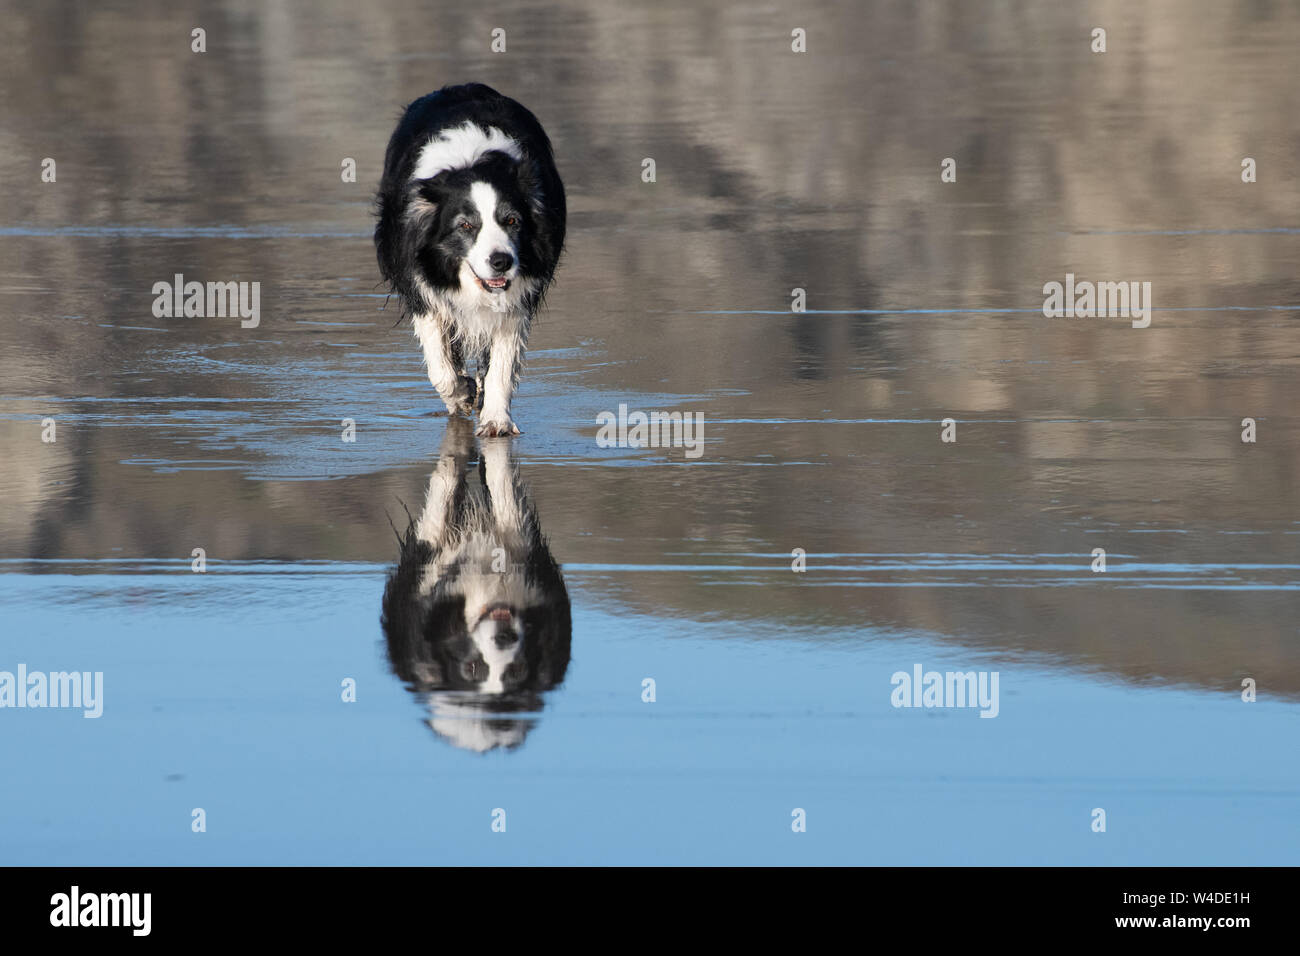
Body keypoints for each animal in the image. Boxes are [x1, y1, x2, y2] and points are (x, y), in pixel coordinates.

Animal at [371, 85, 564, 437]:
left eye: (512, 221)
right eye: (465, 226)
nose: (501, 261)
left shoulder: (520, 290)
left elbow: (503, 360)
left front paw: (496, 420)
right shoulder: (421, 279)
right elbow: (440, 362)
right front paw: (462, 395)